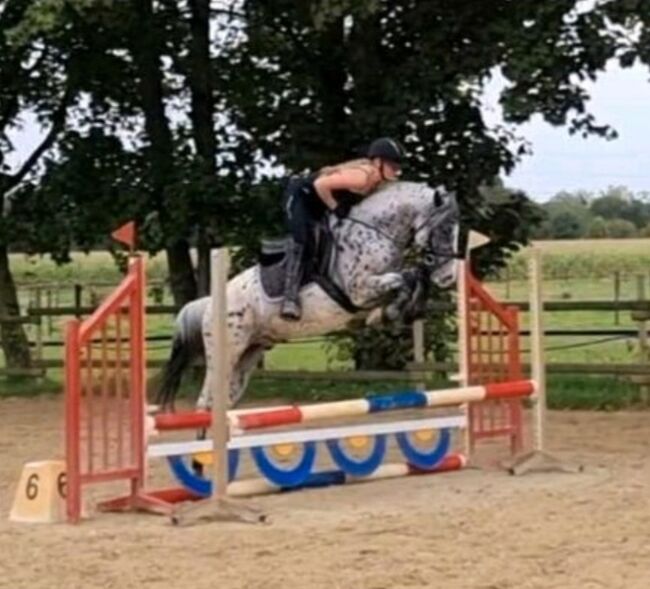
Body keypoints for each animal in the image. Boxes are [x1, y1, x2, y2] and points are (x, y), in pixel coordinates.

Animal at [154, 181, 458, 412]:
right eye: (444, 229)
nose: (449, 278)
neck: (374, 232)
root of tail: (208, 303)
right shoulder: (359, 290)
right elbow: (403, 279)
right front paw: (392, 313)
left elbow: (411, 278)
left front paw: (394, 313)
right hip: (227, 351)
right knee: (205, 402)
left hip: (247, 357)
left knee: (223, 403)